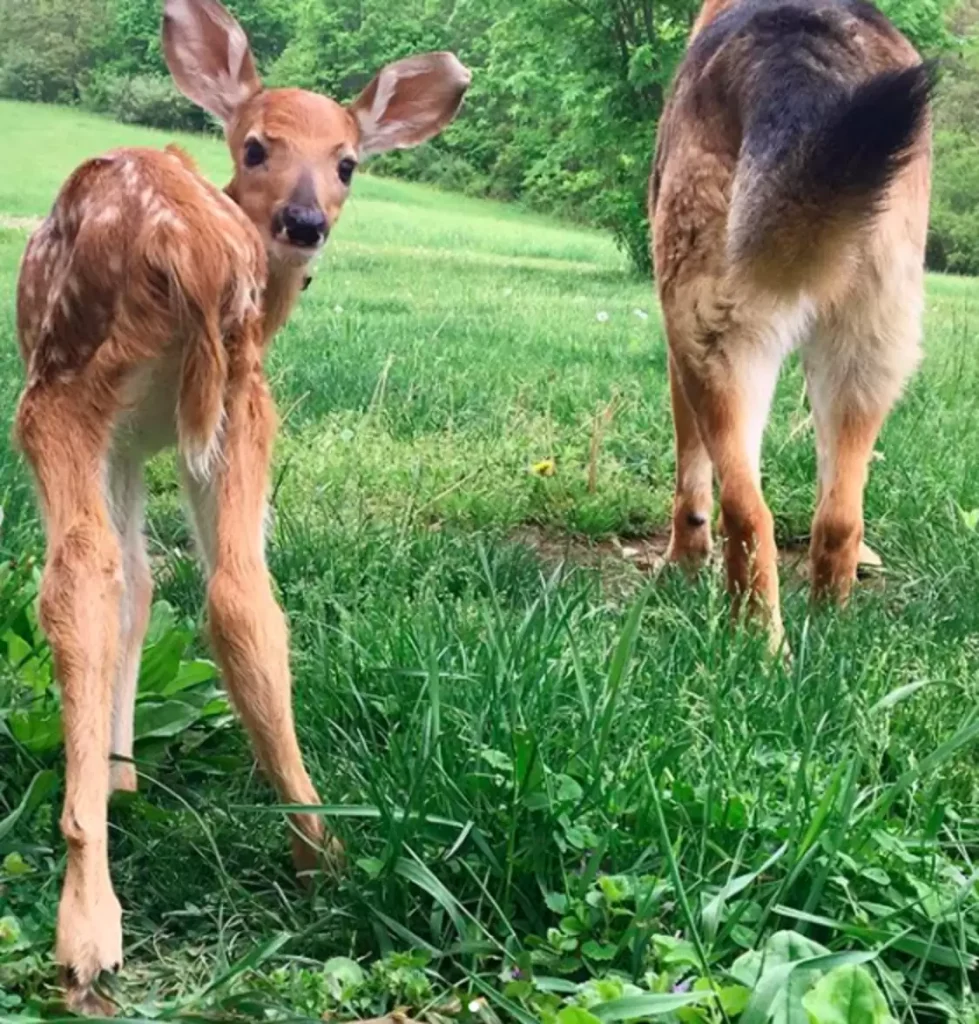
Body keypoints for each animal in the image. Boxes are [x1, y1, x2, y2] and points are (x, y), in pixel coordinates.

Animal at [651, 0, 933, 638]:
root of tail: (797, 45)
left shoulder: (679, 358)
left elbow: (690, 483)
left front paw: (683, 566)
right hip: (867, 355)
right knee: (839, 516)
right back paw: (830, 631)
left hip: (713, 339)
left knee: (746, 510)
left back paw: (754, 642)